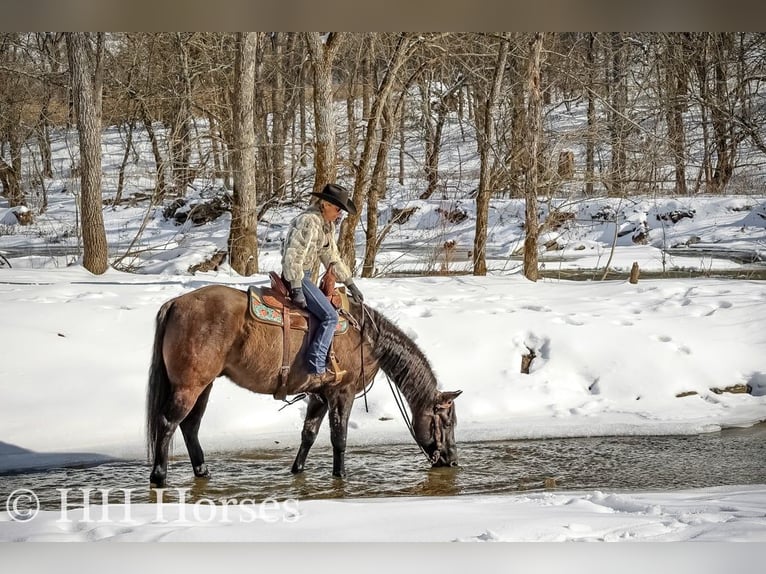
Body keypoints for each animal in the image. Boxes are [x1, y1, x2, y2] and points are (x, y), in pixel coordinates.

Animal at [146, 283, 462, 487]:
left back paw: (203, 472)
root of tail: (175, 304)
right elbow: (339, 438)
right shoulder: (342, 393)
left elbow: (308, 434)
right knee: (168, 422)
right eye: (447, 422)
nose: (452, 460)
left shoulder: (319, 395)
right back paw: (159, 477)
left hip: (205, 385)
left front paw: (297, 471)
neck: (367, 337)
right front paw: (341, 476)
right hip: (189, 385)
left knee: (190, 426)